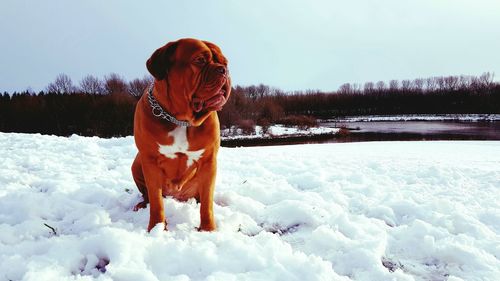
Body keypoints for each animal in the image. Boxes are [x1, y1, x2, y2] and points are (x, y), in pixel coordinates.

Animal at [130, 38, 229, 231]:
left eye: (225, 62)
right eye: (199, 60)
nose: (223, 69)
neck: (181, 120)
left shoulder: (209, 162)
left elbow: (207, 204)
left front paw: (208, 230)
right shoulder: (149, 161)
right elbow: (156, 201)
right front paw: (157, 228)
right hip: (137, 163)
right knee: (147, 195)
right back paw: (141, 205)